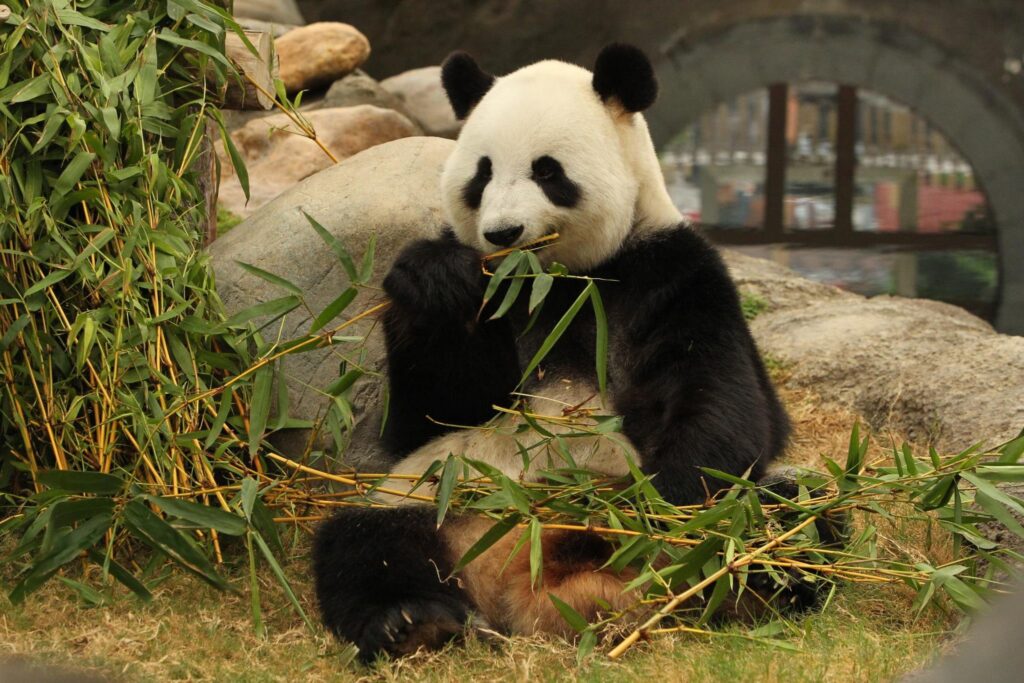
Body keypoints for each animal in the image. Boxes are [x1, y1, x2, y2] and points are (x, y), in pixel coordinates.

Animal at [313, 44, 795, 662]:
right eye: (482, 173)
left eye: (547, 171)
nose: (502, 233)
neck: (554, 280)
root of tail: (523, 571)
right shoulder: (494, 299)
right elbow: (431, 415)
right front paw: (437, 281)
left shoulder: (669, 274)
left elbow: (724, 403)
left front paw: (661, 502)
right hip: (428, 497)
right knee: (362, 543)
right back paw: (412, 622)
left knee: (785, 519)